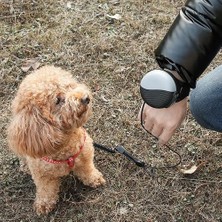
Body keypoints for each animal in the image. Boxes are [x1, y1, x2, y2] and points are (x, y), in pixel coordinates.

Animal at [6, 65, 106, 215]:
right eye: (58, 100)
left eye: (70, 86)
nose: (85, 98)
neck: (64, 149)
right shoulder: (43, 176)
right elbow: (46, 190)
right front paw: (43, 205)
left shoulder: (85, 156)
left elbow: (88, 170)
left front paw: (95, 179)